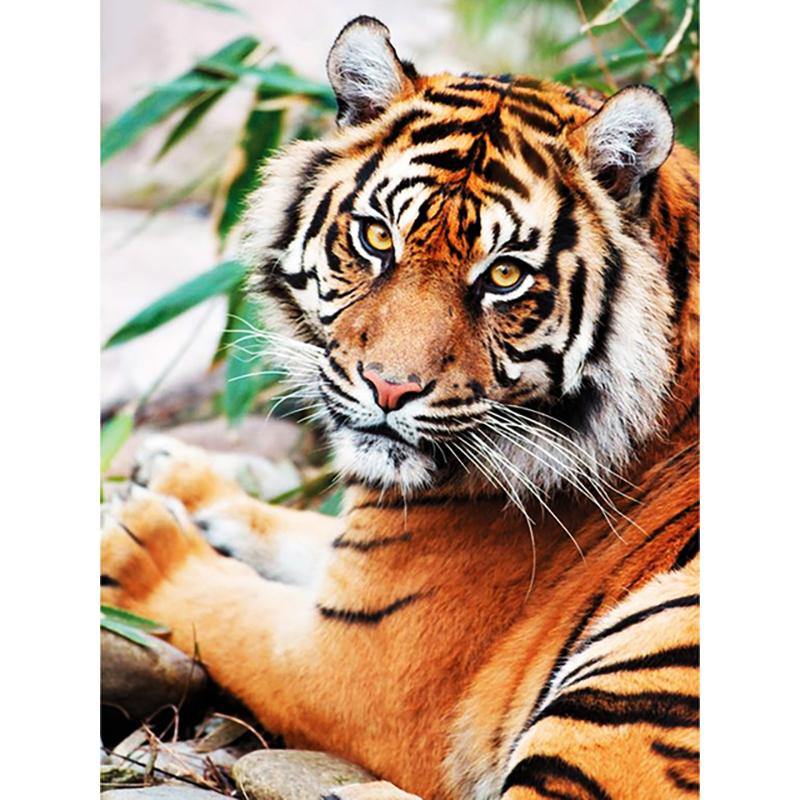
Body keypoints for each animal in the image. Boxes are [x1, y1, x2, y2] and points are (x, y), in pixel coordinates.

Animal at [101, 15, 699, 800]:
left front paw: (138, 543)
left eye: (504, 277)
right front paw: (180, 478)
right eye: (377, 237)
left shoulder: (355, 661)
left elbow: (227, 609)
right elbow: (302, 533)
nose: (388, 387)